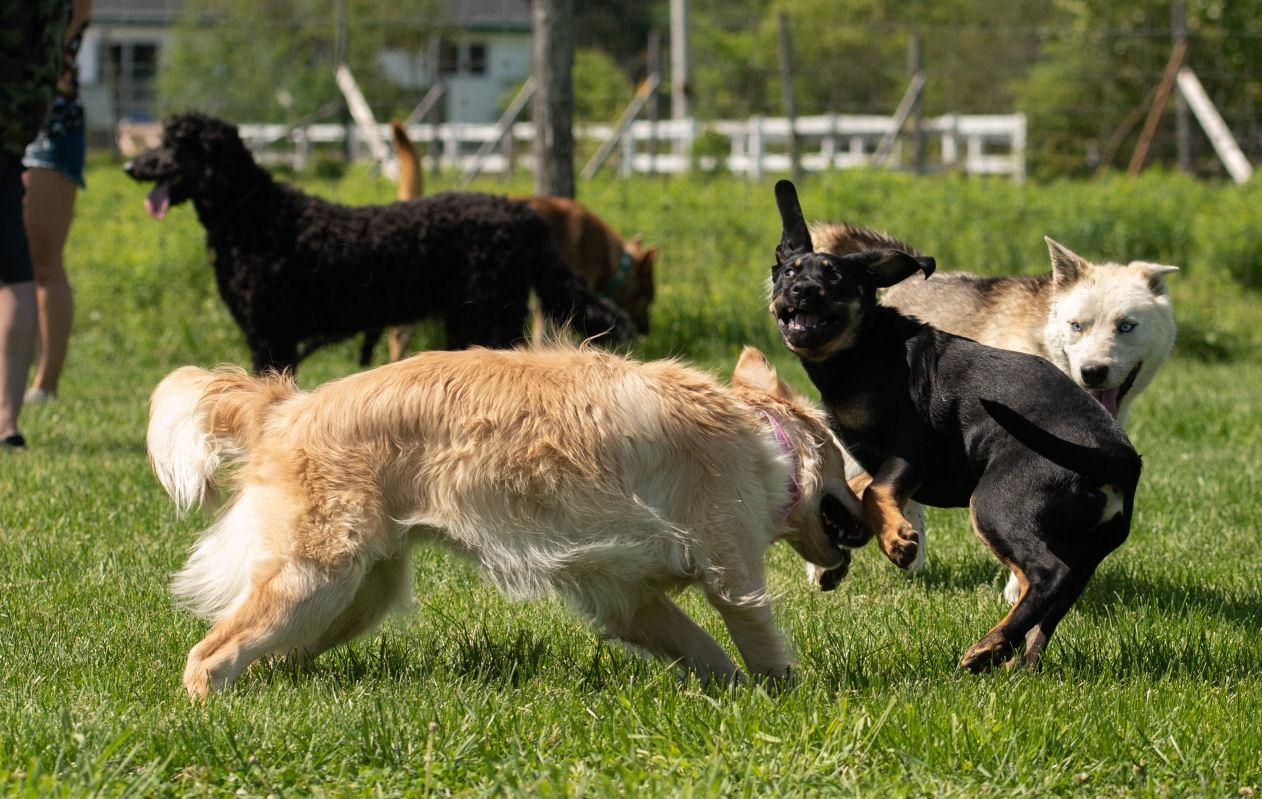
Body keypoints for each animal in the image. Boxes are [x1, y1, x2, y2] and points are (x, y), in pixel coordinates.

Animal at [124, 113, 636, 373]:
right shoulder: (269, 338)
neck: (252, 213)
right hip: (471, 319)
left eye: (176, 144)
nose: (131, 166)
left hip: (491, 315)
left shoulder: (272, 336)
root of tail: (516, 211)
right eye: (161, 140)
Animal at [767, 181, 1145, 671]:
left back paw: (985, 647)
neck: (862, 349)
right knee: (1050, 607)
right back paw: (1009, 658)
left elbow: (874, 491)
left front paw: (897, 541)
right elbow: (858, 488)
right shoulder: (892, 461)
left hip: (998, 502)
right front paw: (845, 542)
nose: (803, 290)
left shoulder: (916, 445)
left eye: (834, 278)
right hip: (1085, 550)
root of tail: (1119, 457)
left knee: (1045, 575)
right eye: (788, 273)